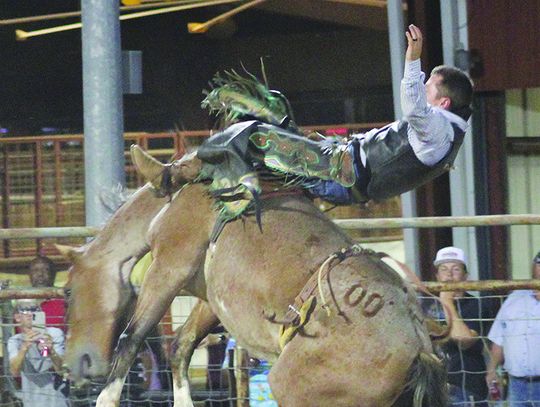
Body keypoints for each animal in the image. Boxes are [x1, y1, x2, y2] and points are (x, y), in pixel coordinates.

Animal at [61, 150, 446, 407]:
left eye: (66, 292)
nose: (75, 366)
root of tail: (419, 349)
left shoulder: (170, 265)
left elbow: (132, 338)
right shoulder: (212, 298)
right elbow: (182, 345)